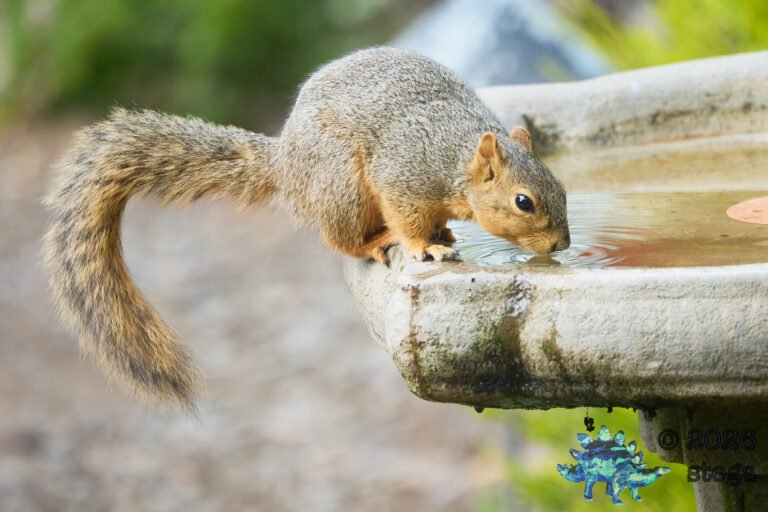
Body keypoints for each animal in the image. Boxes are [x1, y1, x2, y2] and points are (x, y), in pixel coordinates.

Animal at [44, 47, 570, 411]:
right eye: (524, 201)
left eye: (564, 187)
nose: (561, 243)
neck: (455, 159)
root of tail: (286, 165)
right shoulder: (402, 176)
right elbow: (408, 219)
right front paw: (427, 248)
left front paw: (445, 236)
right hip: (342, 184)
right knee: (338, 238)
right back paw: (378, 242)